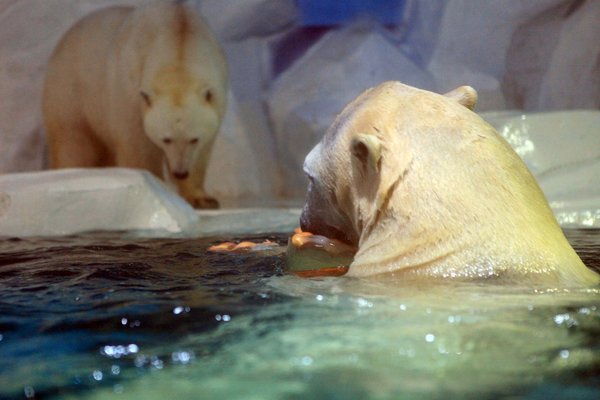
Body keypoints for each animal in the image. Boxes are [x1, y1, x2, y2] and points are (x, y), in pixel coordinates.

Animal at [42, 1, 229, 209]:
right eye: (166, 139)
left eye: (194, 139)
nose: (180, 172)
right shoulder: (129, 90)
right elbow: (137, 145)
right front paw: (154, 187)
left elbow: (202, 152)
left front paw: (202, 199)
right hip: (71, 91)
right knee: (72, 140)